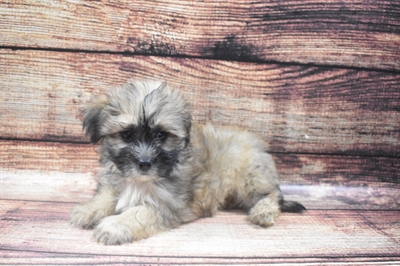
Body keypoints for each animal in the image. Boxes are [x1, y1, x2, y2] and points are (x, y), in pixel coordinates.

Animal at [70, 80, 304, 244]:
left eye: (161, 135)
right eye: (126, 134)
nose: (144, 163)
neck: (140, 181)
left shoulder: (166, 204)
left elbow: (139, 212)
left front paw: (115, 225)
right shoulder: (117, 181)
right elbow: (107, 196)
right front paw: (89, 209)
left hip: (251, 176)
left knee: (271, 195)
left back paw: (263, 211)